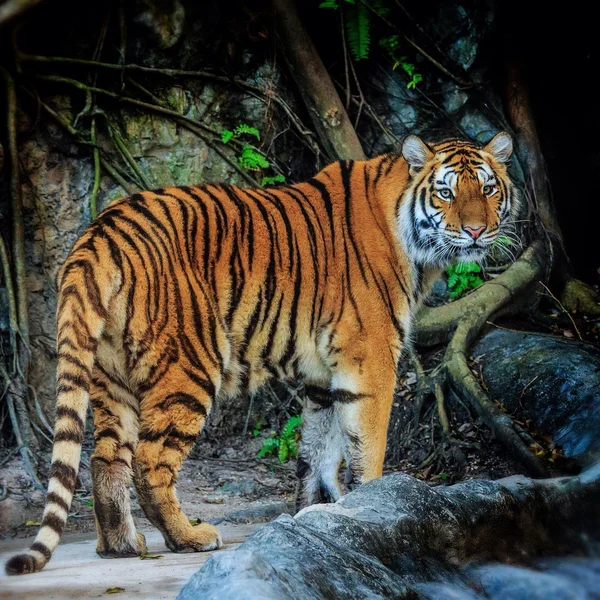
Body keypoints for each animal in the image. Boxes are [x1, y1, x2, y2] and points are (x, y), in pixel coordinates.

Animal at [4, 132, 516, 576]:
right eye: (446, 193)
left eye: (488, 188)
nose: (476, 231)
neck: (413, 242)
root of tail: (100, 232)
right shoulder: (370, 356)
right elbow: (367, 443)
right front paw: (378, 505)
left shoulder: (323, 376)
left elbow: (319, 450)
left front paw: (318, 515)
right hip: (188, 365)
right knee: (149, 460)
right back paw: (188, 537)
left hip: (112, 375)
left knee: (106, 456)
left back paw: (122, 546)